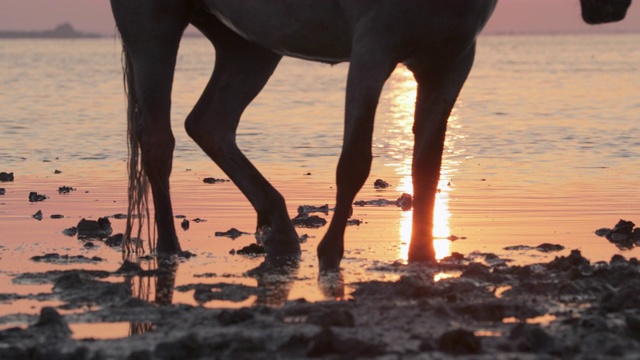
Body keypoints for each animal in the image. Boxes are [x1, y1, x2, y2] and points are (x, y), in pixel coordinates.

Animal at [110, 0, 632, 270]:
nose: (608, 9)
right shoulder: (373, 49)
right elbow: (355, 161)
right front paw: (331, 250)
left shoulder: (450, 62)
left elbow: (427, 165)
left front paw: (422, 254)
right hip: (152, 24)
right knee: (158, 140)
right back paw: (170, 247)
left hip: (247, 45)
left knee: (210, 123)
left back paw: (279, 228)